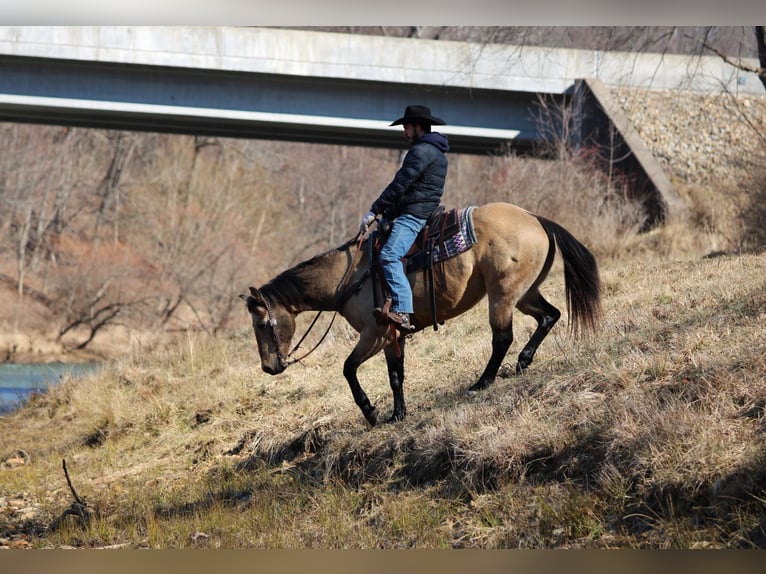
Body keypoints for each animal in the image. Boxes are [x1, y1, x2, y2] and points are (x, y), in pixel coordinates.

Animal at [241, 202, 601, 427]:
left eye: (262, 323)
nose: (269, 367)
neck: (350, 275)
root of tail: (534, 218)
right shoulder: (392, 335)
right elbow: (395, 375)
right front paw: (397, 415)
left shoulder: (374, 333)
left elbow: (348, 368)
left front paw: (371, 412)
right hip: (524, 294)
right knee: (549, 316)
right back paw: (523, 362)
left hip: (501, 296)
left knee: (502, 338)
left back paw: (481, 382)